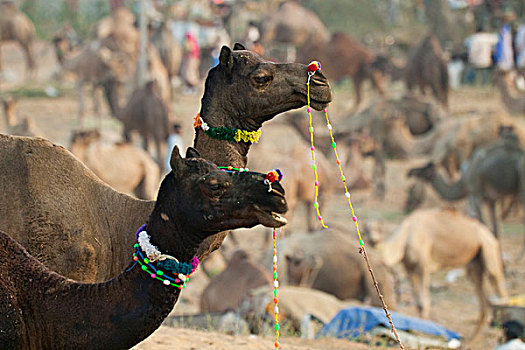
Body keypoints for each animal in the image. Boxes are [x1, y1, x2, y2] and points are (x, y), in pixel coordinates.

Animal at [368, 208, 508, 340]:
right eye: (366, 230)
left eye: (376, 229)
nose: (372, 240)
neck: (405, 237)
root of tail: (490, 235)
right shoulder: (409, 268)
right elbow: (418, 302)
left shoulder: (423, 265)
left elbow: (424, 301)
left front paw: (423, 331)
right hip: (474, 264)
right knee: (483, 301)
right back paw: (471, 341)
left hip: (489, 251)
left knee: (499, 287)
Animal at [408, 127, 524, 258]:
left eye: (425, 168)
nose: (410, 172)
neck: (463, 182)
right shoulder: (490, 200)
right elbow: (494, 230)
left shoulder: (475, 194)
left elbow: (482, 224)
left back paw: (519, 257)